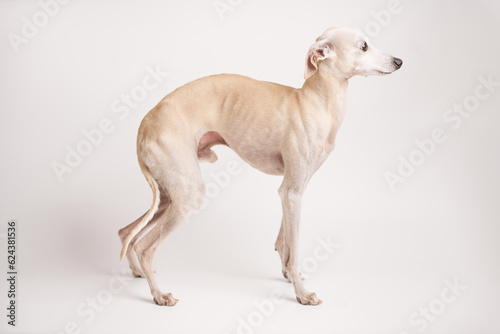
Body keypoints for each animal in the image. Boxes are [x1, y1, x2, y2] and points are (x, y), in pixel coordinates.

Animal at [117, 27, 402, 306]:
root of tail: (146, 121)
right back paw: (159, 295)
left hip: (167, 195)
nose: (399, 61)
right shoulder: (292, 191)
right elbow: (294, 246)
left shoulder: (292, 190)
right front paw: (302, 294)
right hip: (186, 195)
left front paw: (289, 274)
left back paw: (138, 272)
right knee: (143, 247)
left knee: (126, 232)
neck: (315, 101)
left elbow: (284, 242)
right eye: (364, 46)